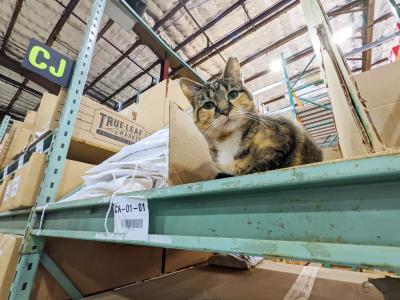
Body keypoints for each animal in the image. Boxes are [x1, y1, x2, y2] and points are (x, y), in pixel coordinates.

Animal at [180, 57, 324, 177]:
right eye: (208, 105)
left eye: (233, 94)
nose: (225, 110)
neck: (228, 140)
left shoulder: (285, 135)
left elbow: (259, 167)